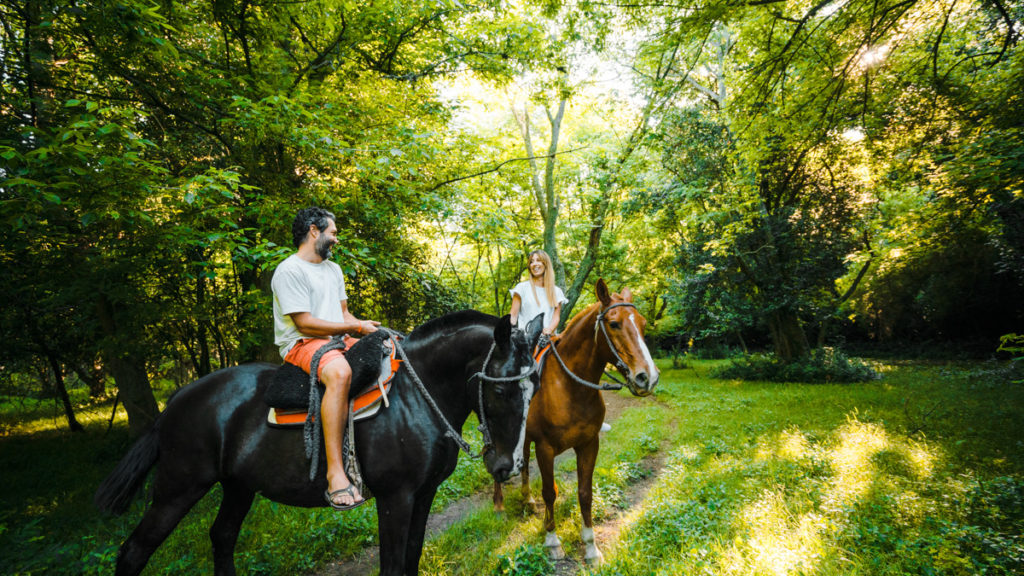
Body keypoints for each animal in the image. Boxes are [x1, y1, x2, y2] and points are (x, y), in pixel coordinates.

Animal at [95, 309, 544, 573]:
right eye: (500, 390)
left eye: (533, 389)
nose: (507, 467)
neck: (417, 396)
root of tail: (174, 402)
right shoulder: (395, 497)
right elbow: (392, 564)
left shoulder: (424, 494)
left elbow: (412, 557)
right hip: (178, 489)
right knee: (134, 551)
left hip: (238, 487)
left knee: (222, 537)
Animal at [493, 278, 655, 561]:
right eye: (614, 323)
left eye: (643, 323)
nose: (648, 377)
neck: (570, 387)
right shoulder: (545, 449)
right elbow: (550, 492)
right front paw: (552, 541)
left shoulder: (589, 444)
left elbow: (585, 493)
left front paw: (591, 546)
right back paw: (499, 505)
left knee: (523, 461)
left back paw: (527, 499)